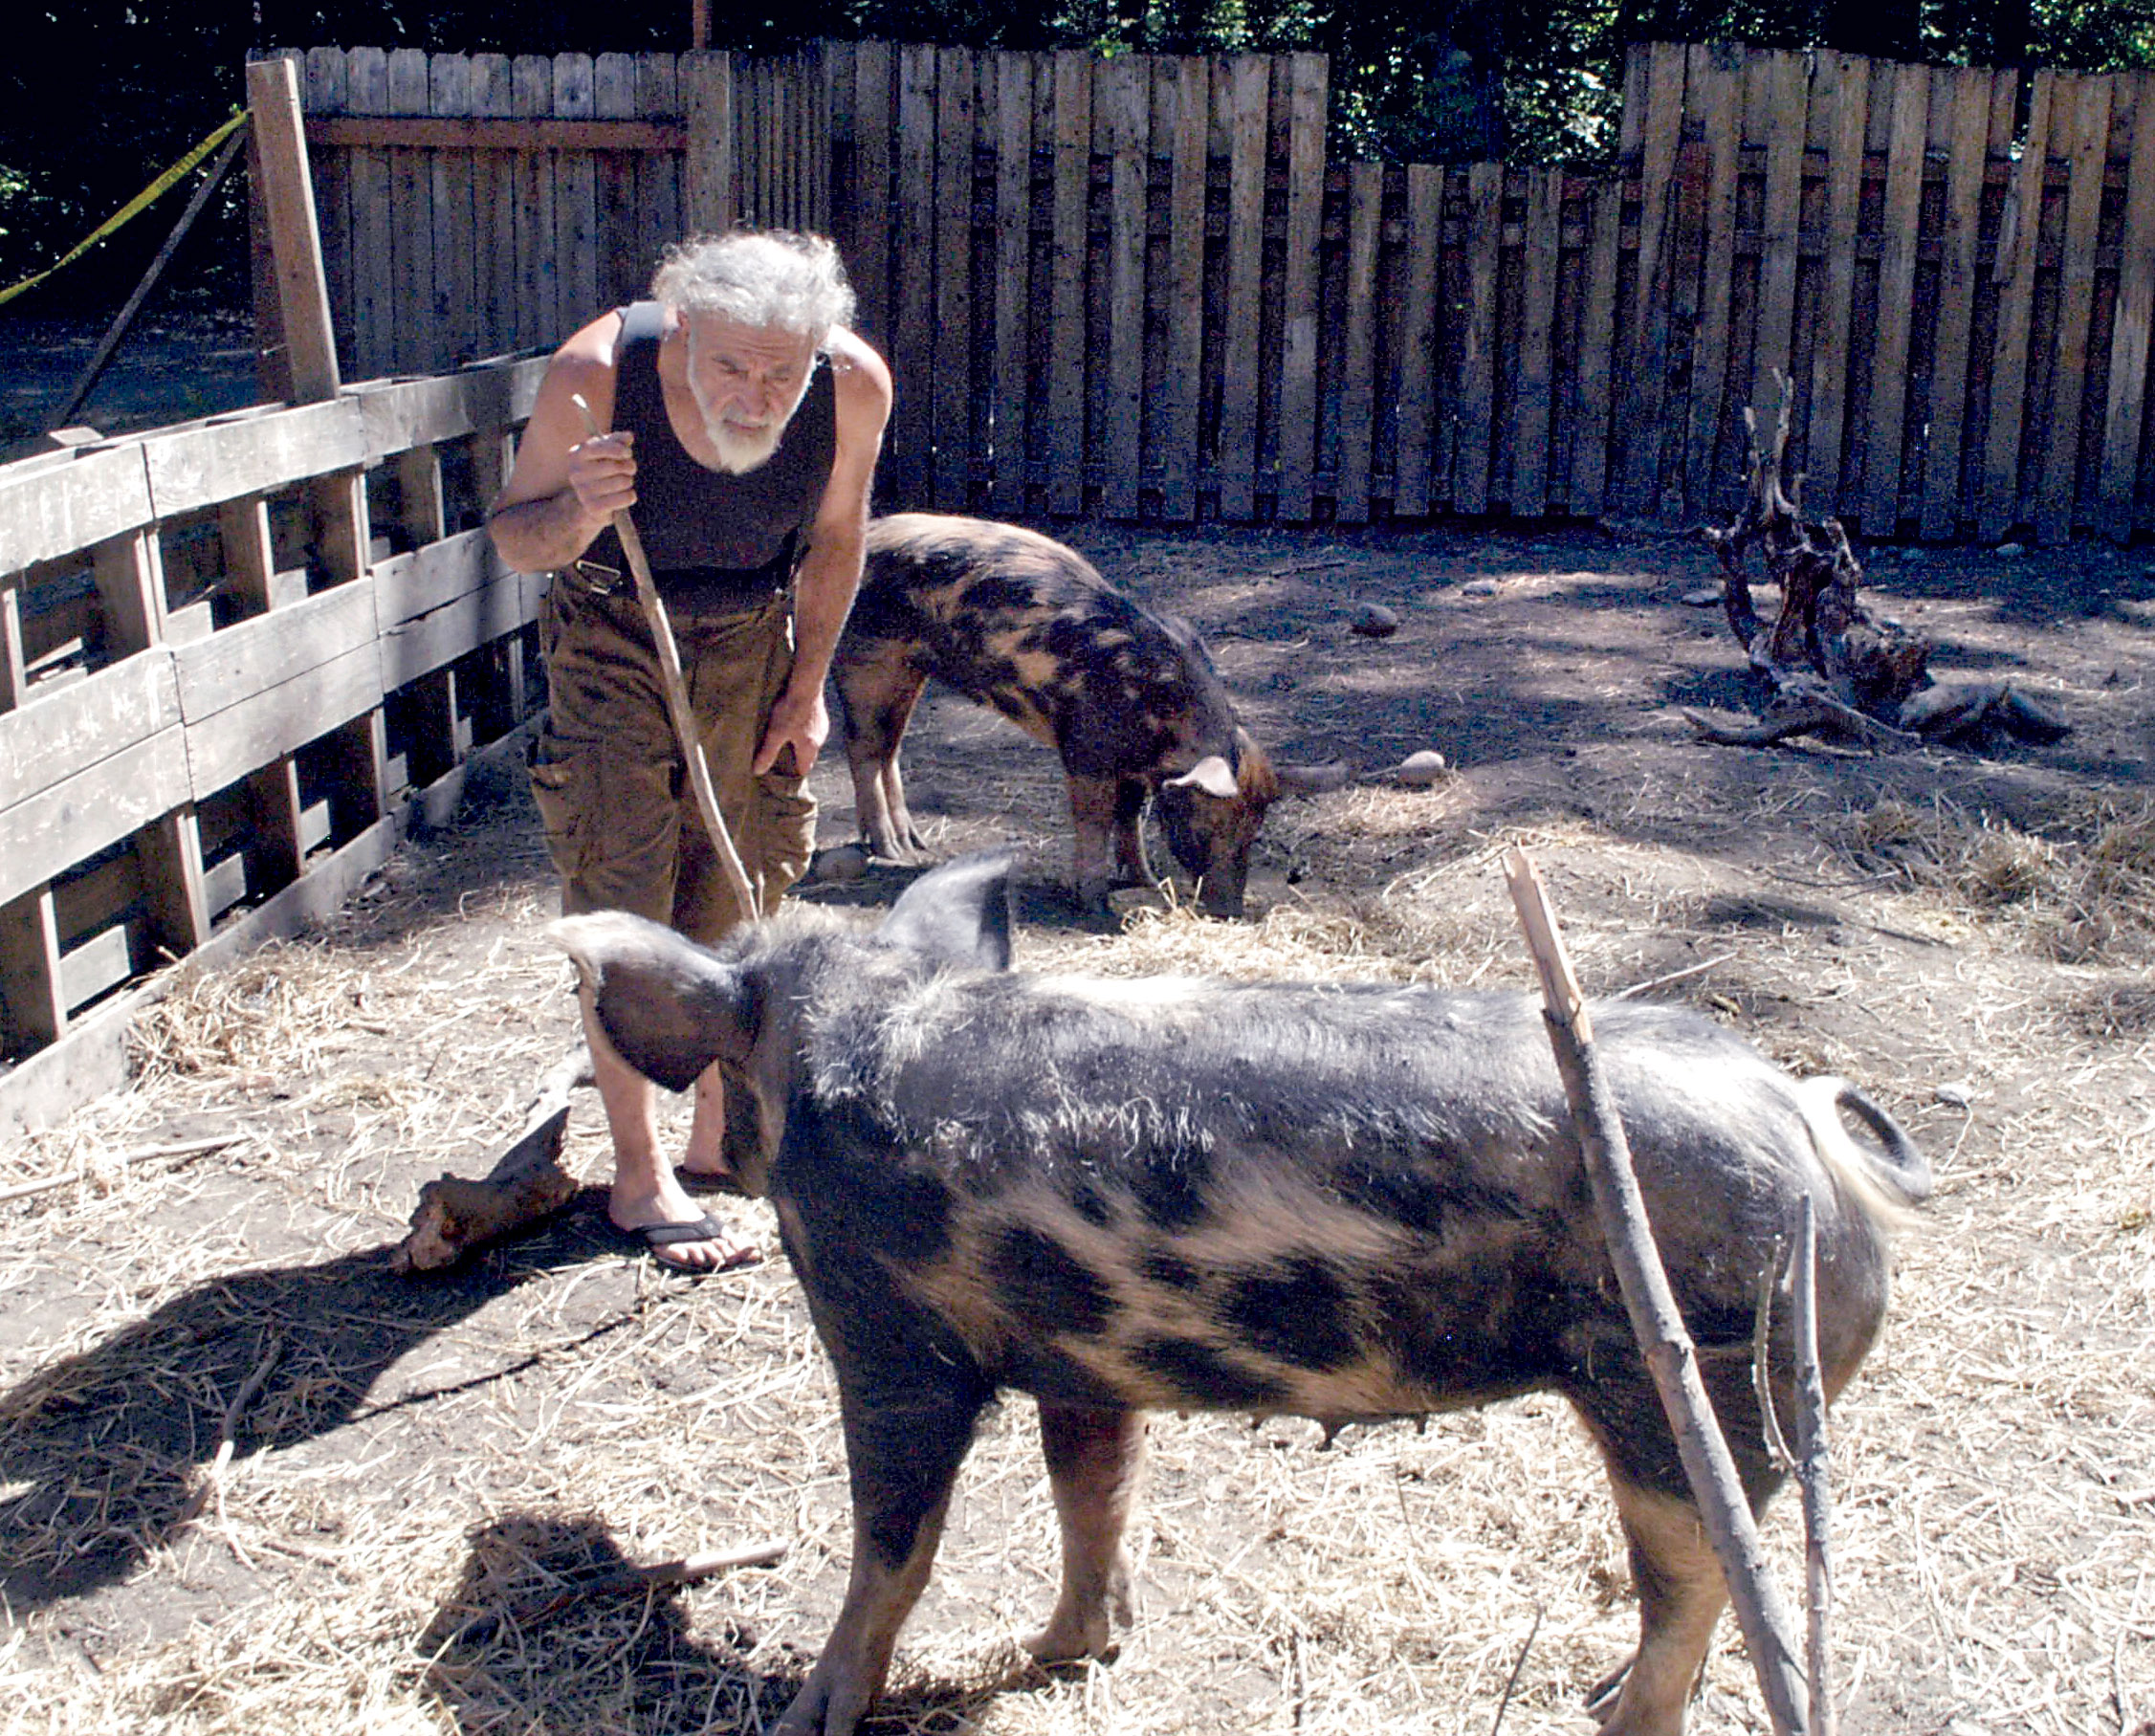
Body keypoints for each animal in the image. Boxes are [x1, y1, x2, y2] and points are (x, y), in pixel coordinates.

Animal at [836, 512, 1309, 917]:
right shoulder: (1085, 750)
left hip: (912, 670)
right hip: (869, 657)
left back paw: (912, 844)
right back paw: (889, 851)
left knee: (890, 748)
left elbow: (1130, 818)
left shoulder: (1134, 767)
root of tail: (870, 533)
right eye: (1208, 824)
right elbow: (1095, 822)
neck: (1163, 719)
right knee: (862, 749)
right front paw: (1096, 906)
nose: (1230, 911)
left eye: (1254, 829)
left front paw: (1147, 881)